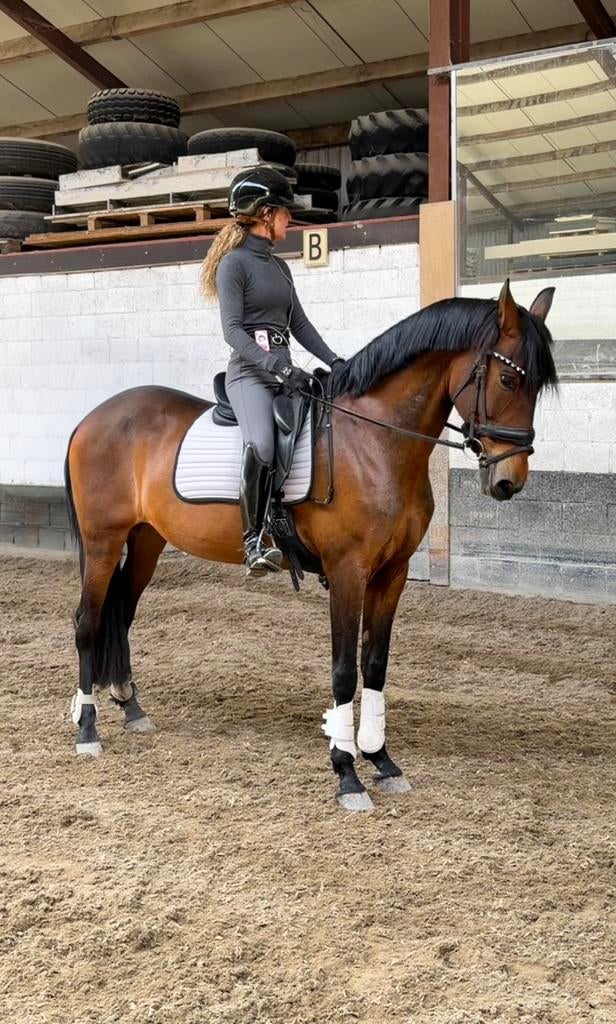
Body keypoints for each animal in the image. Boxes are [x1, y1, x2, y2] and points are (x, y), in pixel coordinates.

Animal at [65, 280, 557, 811]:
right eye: (508, 381)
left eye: (537, 387)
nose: (510, 480)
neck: (374, 442)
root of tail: (92, 419)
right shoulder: (347, 571)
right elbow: (343, 670)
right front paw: (347, 773)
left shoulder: (393, 573)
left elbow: (375, 664)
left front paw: (382, 760)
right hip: (102, 541)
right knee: (88, 622)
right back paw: (87, 729)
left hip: (147, 541)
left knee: (122, 614)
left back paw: (131, 707)